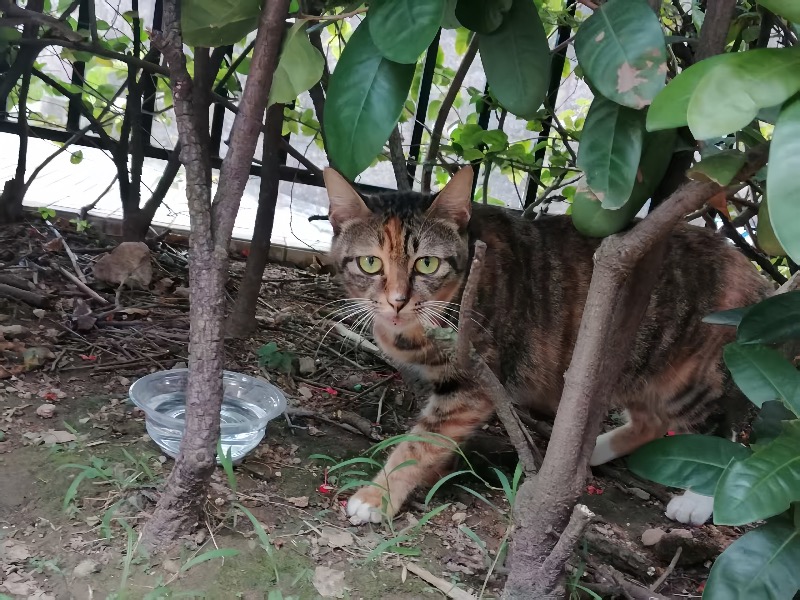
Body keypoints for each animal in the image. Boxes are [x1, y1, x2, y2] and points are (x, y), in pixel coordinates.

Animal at [323, 166, 771, 527]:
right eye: (370, 263)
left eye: (427, 264)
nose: (398, 300)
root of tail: (753, 272)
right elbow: (438, 439)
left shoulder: (475, 381)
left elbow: (421, 443)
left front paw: (376, 496)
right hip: (632, 367)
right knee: (652, 421)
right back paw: (588, 452)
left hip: (685, 376)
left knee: (722, 434)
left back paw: (697, 499)